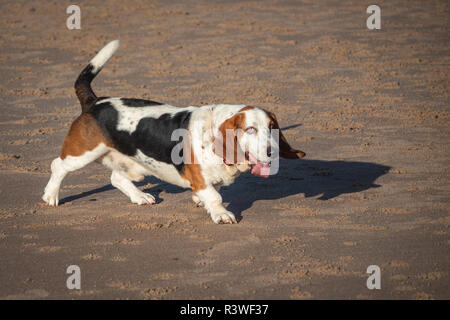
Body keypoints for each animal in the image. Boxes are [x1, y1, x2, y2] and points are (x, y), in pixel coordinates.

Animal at [42, 40, 306, 224]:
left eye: (272, 128)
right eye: (250, 129)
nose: (272, 153)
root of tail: (95, 102)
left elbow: (212, 192)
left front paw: (201, 202)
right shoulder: (201, 179)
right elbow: (215, 197)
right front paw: (221, 214)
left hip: (135, 165)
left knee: (116, 178)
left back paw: (140, 197)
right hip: (82, 154)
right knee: (58, 166)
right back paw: (51, 196)